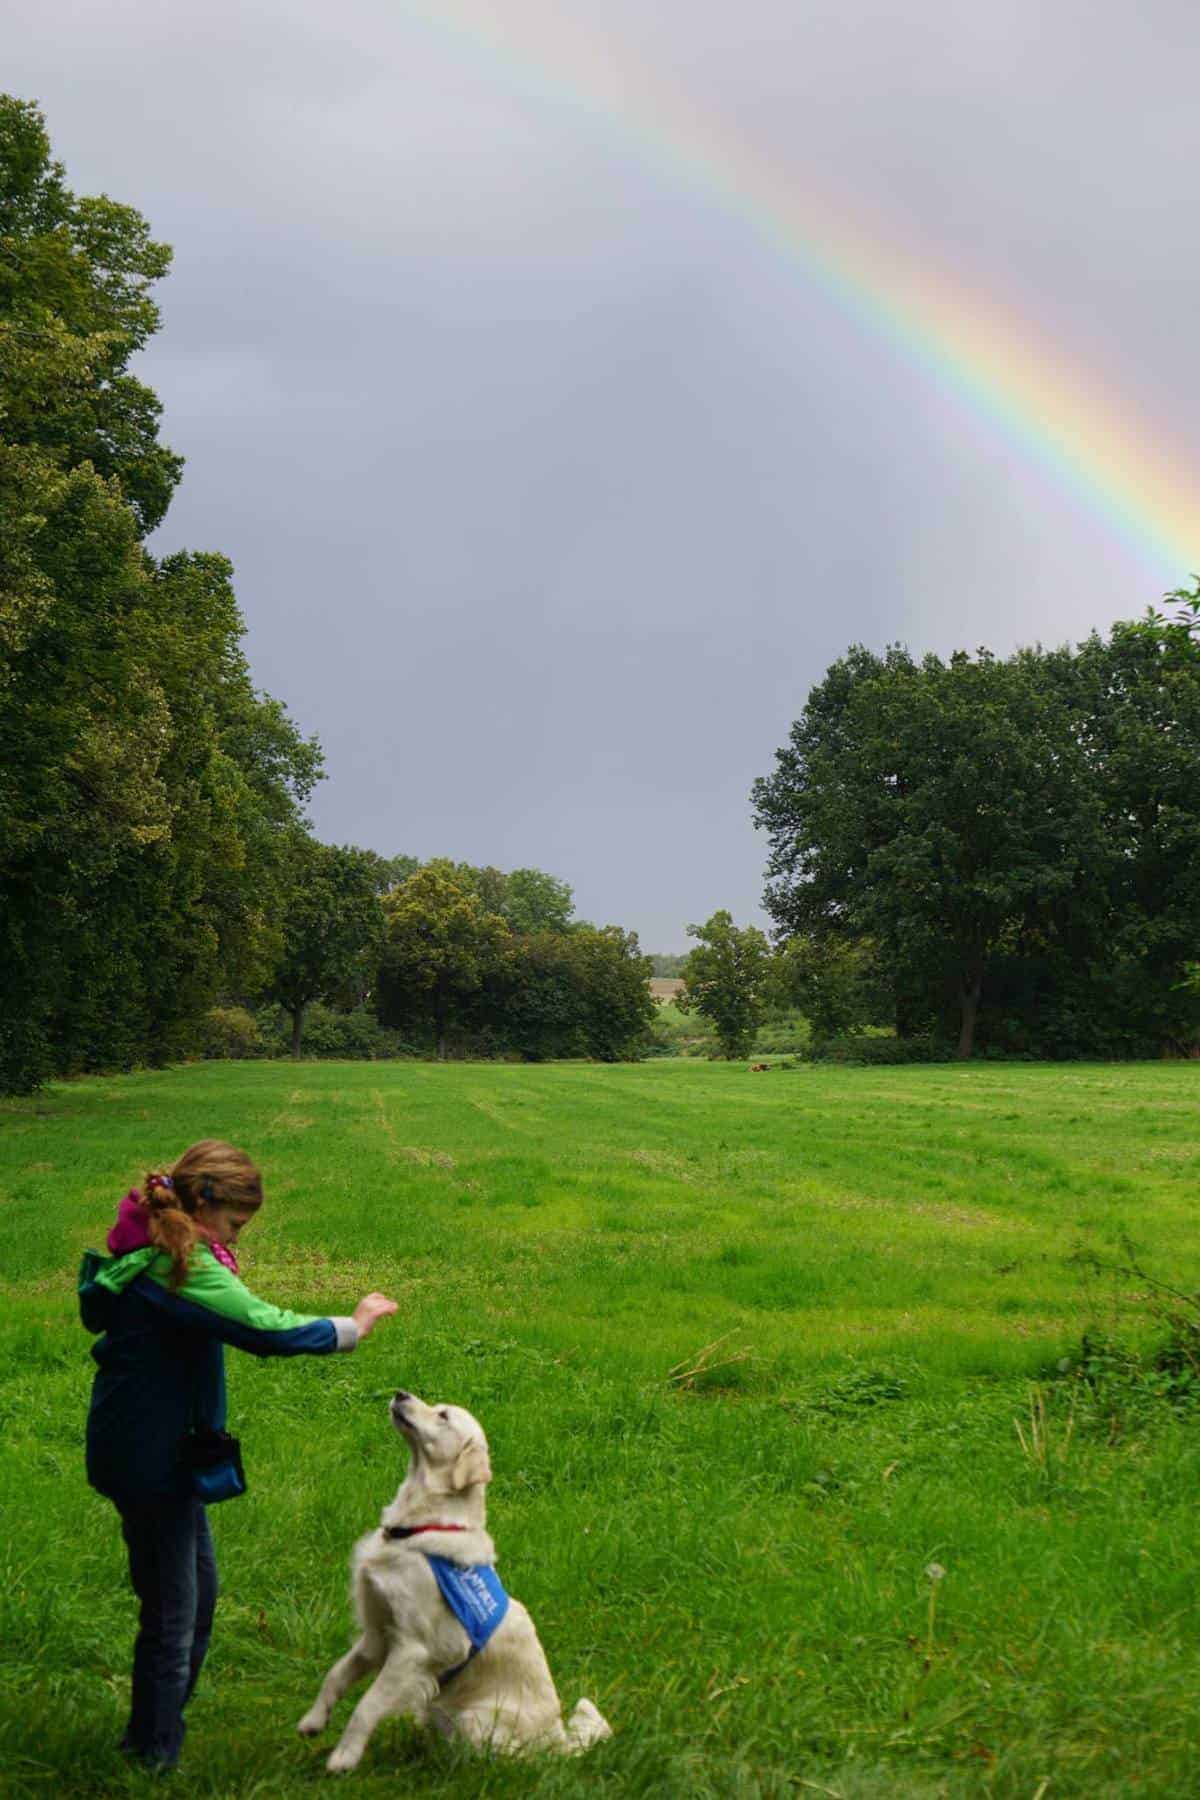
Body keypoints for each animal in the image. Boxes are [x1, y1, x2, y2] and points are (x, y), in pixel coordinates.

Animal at [296, 1389, 615, 1771]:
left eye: (443, 1416)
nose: (400, 1393)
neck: (418, 1526)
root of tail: (558, 1742)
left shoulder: (412, 1649)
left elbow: (366, 1706)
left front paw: (344, 1757)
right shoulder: (377, 1634)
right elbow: (336, 1675)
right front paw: (313, 1720)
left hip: (475, 1718)